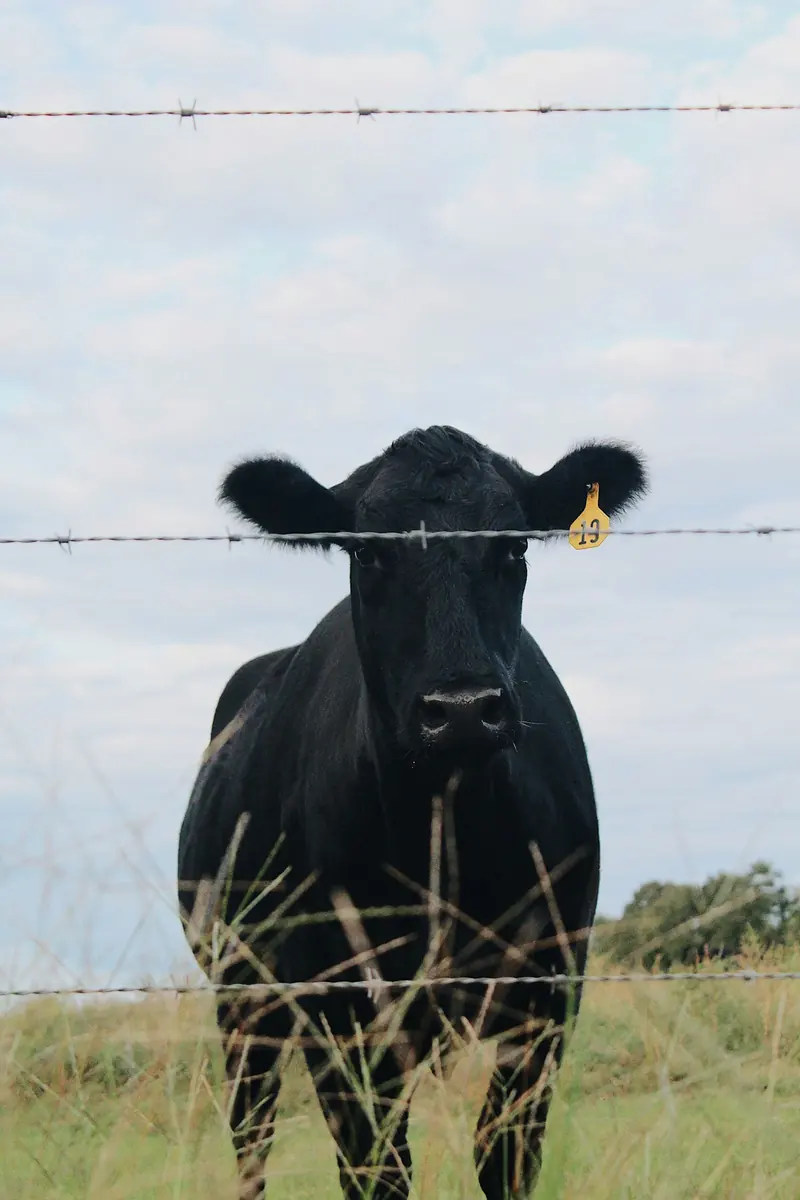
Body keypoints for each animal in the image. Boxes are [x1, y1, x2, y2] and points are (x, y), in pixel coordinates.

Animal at [177, 424, 647, 1199]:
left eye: (513, 546)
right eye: (367, 551)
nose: (461, 710)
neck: (443, 833)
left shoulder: (549, 988)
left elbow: (504, 1158)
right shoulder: (340, 1007)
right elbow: (377, 1169)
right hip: (243, 998)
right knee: (251, 1138)